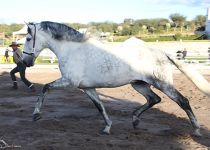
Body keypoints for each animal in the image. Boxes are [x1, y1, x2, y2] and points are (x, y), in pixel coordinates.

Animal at [21, 21, 210, 136]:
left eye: (29, 38)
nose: (25, 62)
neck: (72, 50)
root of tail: (163, 53)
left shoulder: (69, 82)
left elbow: (45, 87)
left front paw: (36, 114)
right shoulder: (87, 88)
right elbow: (100, 106)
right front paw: (107, 127)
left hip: (162, 83)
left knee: (183, 101)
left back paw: (196, 130)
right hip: (139, 84)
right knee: (154, 99)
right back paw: (135, 120)